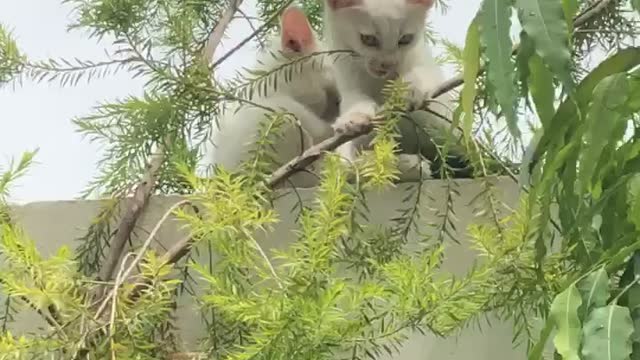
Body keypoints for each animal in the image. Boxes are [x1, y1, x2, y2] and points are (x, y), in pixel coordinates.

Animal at [320, 0, 450, 166]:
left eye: (405, 39)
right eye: (368, 39)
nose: (387, 64)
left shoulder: (424, 62)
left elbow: (425, 76)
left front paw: (409, 89)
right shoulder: (346, 71)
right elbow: (354, 99)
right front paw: (353, 117)